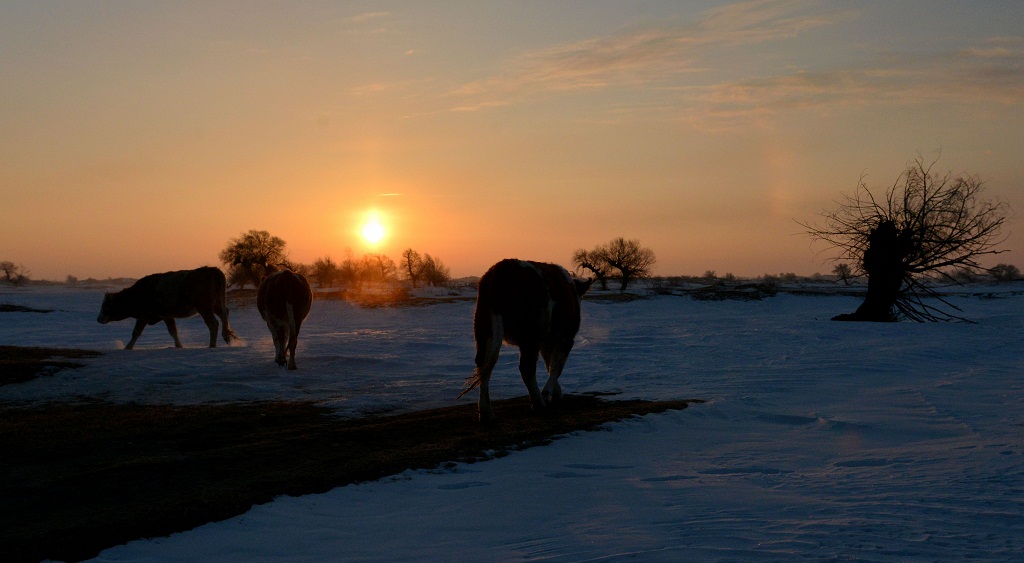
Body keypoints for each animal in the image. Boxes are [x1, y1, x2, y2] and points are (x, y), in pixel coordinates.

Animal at [96, 266, 237, 350]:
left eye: (106, 306)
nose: (98, 319)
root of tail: (212, 269)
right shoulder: (167, 316)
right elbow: (173, 331)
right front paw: (179, 346)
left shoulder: (143, 315)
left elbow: (136, 332)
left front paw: (128, 348)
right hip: (216, 306)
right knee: (225, 315)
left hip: (204, 308)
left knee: (213, 324)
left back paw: (211, 346)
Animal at [462, 260, 593, 423]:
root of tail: (500, 270)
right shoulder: (565, 339)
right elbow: (556, 368)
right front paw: (547, 394)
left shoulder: (545, 343)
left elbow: (549, 364)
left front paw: (556, 394)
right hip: (529, 336)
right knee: (526, 368)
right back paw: (538, 404)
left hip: (486, 329)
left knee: (484, 365)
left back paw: (486, 413)